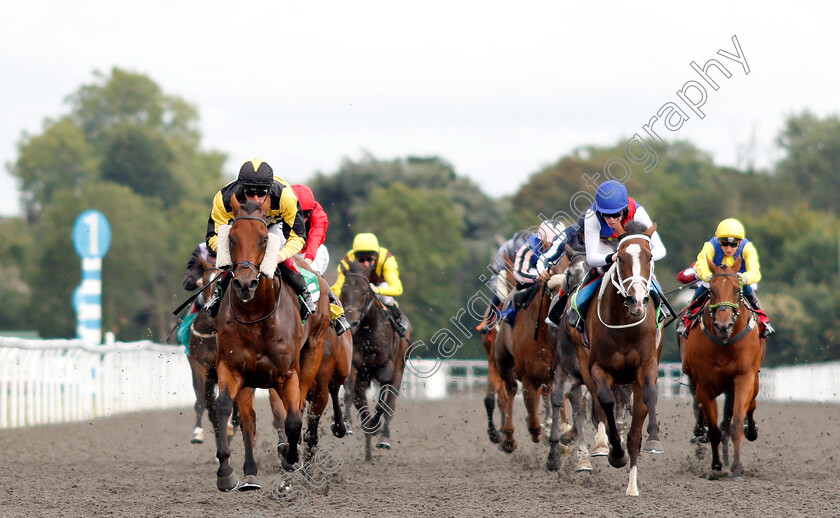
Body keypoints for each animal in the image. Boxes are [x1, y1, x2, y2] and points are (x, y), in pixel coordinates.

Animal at [212, 195, 330, 492]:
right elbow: (226, 407)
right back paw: (250, 474)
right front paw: (227, 472)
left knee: (298, 408)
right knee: (249, 420)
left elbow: (293, 419)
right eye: (231, 237)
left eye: (264, 239)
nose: (245, 284)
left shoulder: (287, 373)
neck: (256, 316)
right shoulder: (232, 367)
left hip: (313, 352)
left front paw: (291, 458)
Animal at [338, 260, 410, 464]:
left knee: (390, 404)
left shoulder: (386, 368)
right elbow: (349, 394)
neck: (368, 331)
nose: (352, 322)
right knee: (361, 404)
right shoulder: (355, 367)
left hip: (399, 369)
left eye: (364, 292)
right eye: (344, 291)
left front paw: (377, 425)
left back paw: (383, 437)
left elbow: (382, 403)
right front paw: (347, 424)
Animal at [576, 221, 668, 498]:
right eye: (620, 258)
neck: (626, 324)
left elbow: (649, 397)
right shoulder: (599, 368)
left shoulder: (646, 367)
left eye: (649, 257)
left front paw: (653, 439)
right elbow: (605, 402)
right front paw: (615, 453)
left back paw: (632, 486)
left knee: (635, 429)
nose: (636, 299)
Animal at [680, 258, 764, 482]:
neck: (725, 343)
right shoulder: (704, 385)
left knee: (750, 407)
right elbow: (715, 430)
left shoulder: (744, 378)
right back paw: (700, 433)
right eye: (712, 291)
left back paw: (750, 431)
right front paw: (716, 465)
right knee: (700, 408)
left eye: (737, 289)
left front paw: (736, 468)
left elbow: (735, 424)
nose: (723, 325)